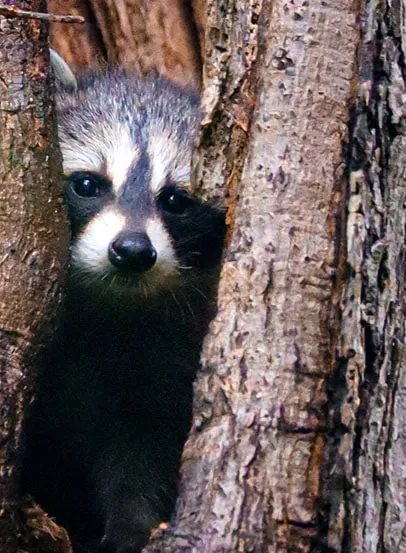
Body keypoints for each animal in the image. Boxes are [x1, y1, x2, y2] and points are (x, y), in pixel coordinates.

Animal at [23, 52, 225, 552]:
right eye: (88, 184)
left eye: (175, 199)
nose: (132, 250)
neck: (108, 307)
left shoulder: (160, 362)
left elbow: (141, 447)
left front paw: (132, 525)